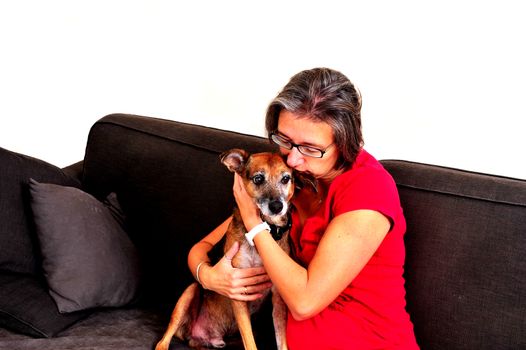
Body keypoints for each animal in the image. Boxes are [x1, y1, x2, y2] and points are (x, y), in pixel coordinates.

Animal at [157, 149, 314, 348]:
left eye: (286, 178)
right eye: (258, 178)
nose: (277, 206)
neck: (266, 231)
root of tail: (198, 337)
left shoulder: (278, 299)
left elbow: (281, 340)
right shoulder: (238, 289)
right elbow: (250, 342)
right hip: (190, 291)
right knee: (165, 337)